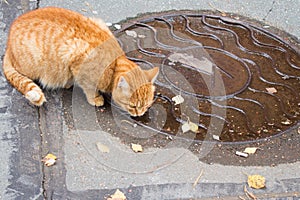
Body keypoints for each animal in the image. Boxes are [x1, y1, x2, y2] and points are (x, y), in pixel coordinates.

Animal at [2, 7, 159, 116]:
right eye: (133, 106)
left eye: (146, 106)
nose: (140, 114)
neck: (113, 64)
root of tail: (8, 45)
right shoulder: (76, 58)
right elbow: (89, 87)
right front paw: (95, 98)